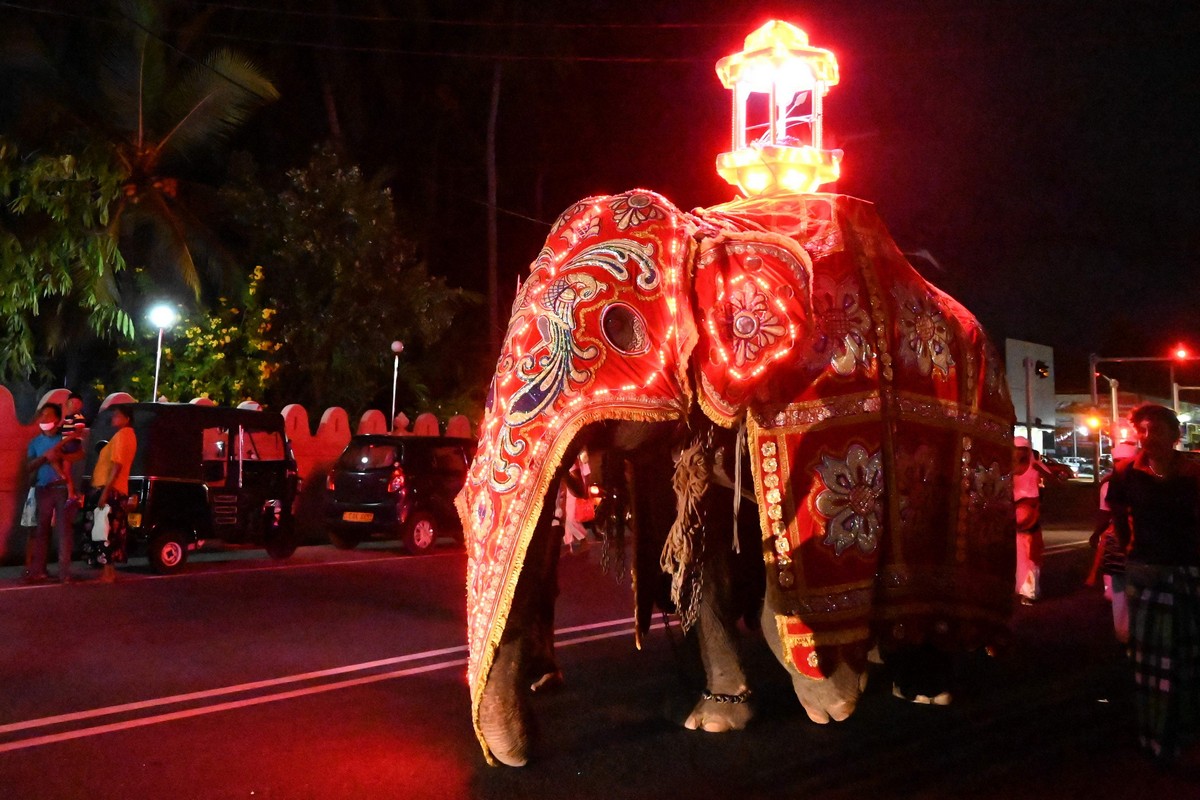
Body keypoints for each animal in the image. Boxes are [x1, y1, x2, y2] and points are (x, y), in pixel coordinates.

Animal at [456, 188, 1012, 767]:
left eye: (619, 327)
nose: (513, 759)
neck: (710, 233)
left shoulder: (815, 401)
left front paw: (831, 701)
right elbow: (708, 554)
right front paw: (717, 718)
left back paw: (927, 686)